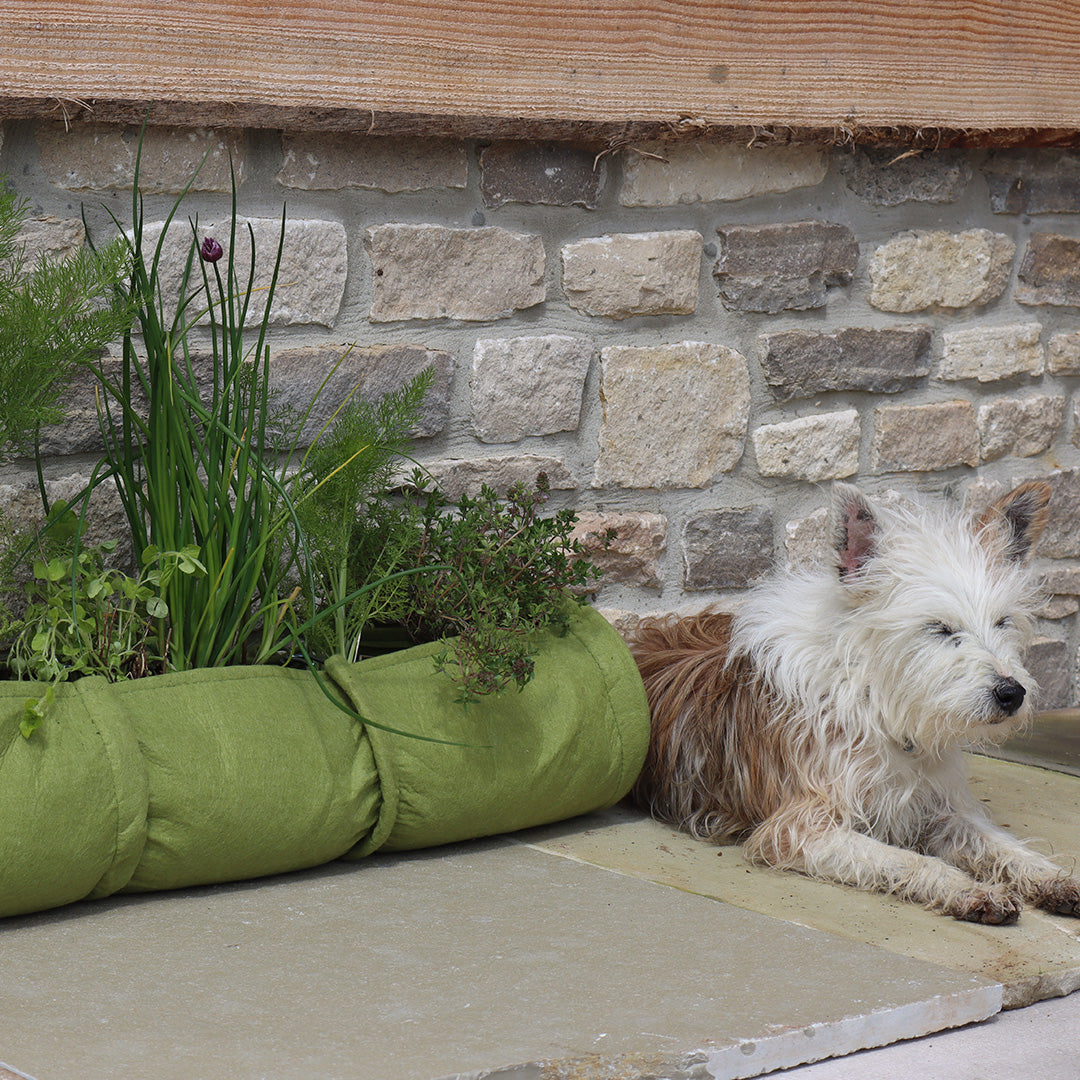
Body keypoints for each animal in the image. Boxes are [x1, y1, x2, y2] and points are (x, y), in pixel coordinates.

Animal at [630, 486, 1075, 924]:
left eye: (1002, 622)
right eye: (939, 628)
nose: (1011, 693)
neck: (877, 703)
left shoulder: (939, 807)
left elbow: (998, 844)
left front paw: (1051, 878)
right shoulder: (801, 829)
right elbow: (909, 860)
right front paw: (967, 889)